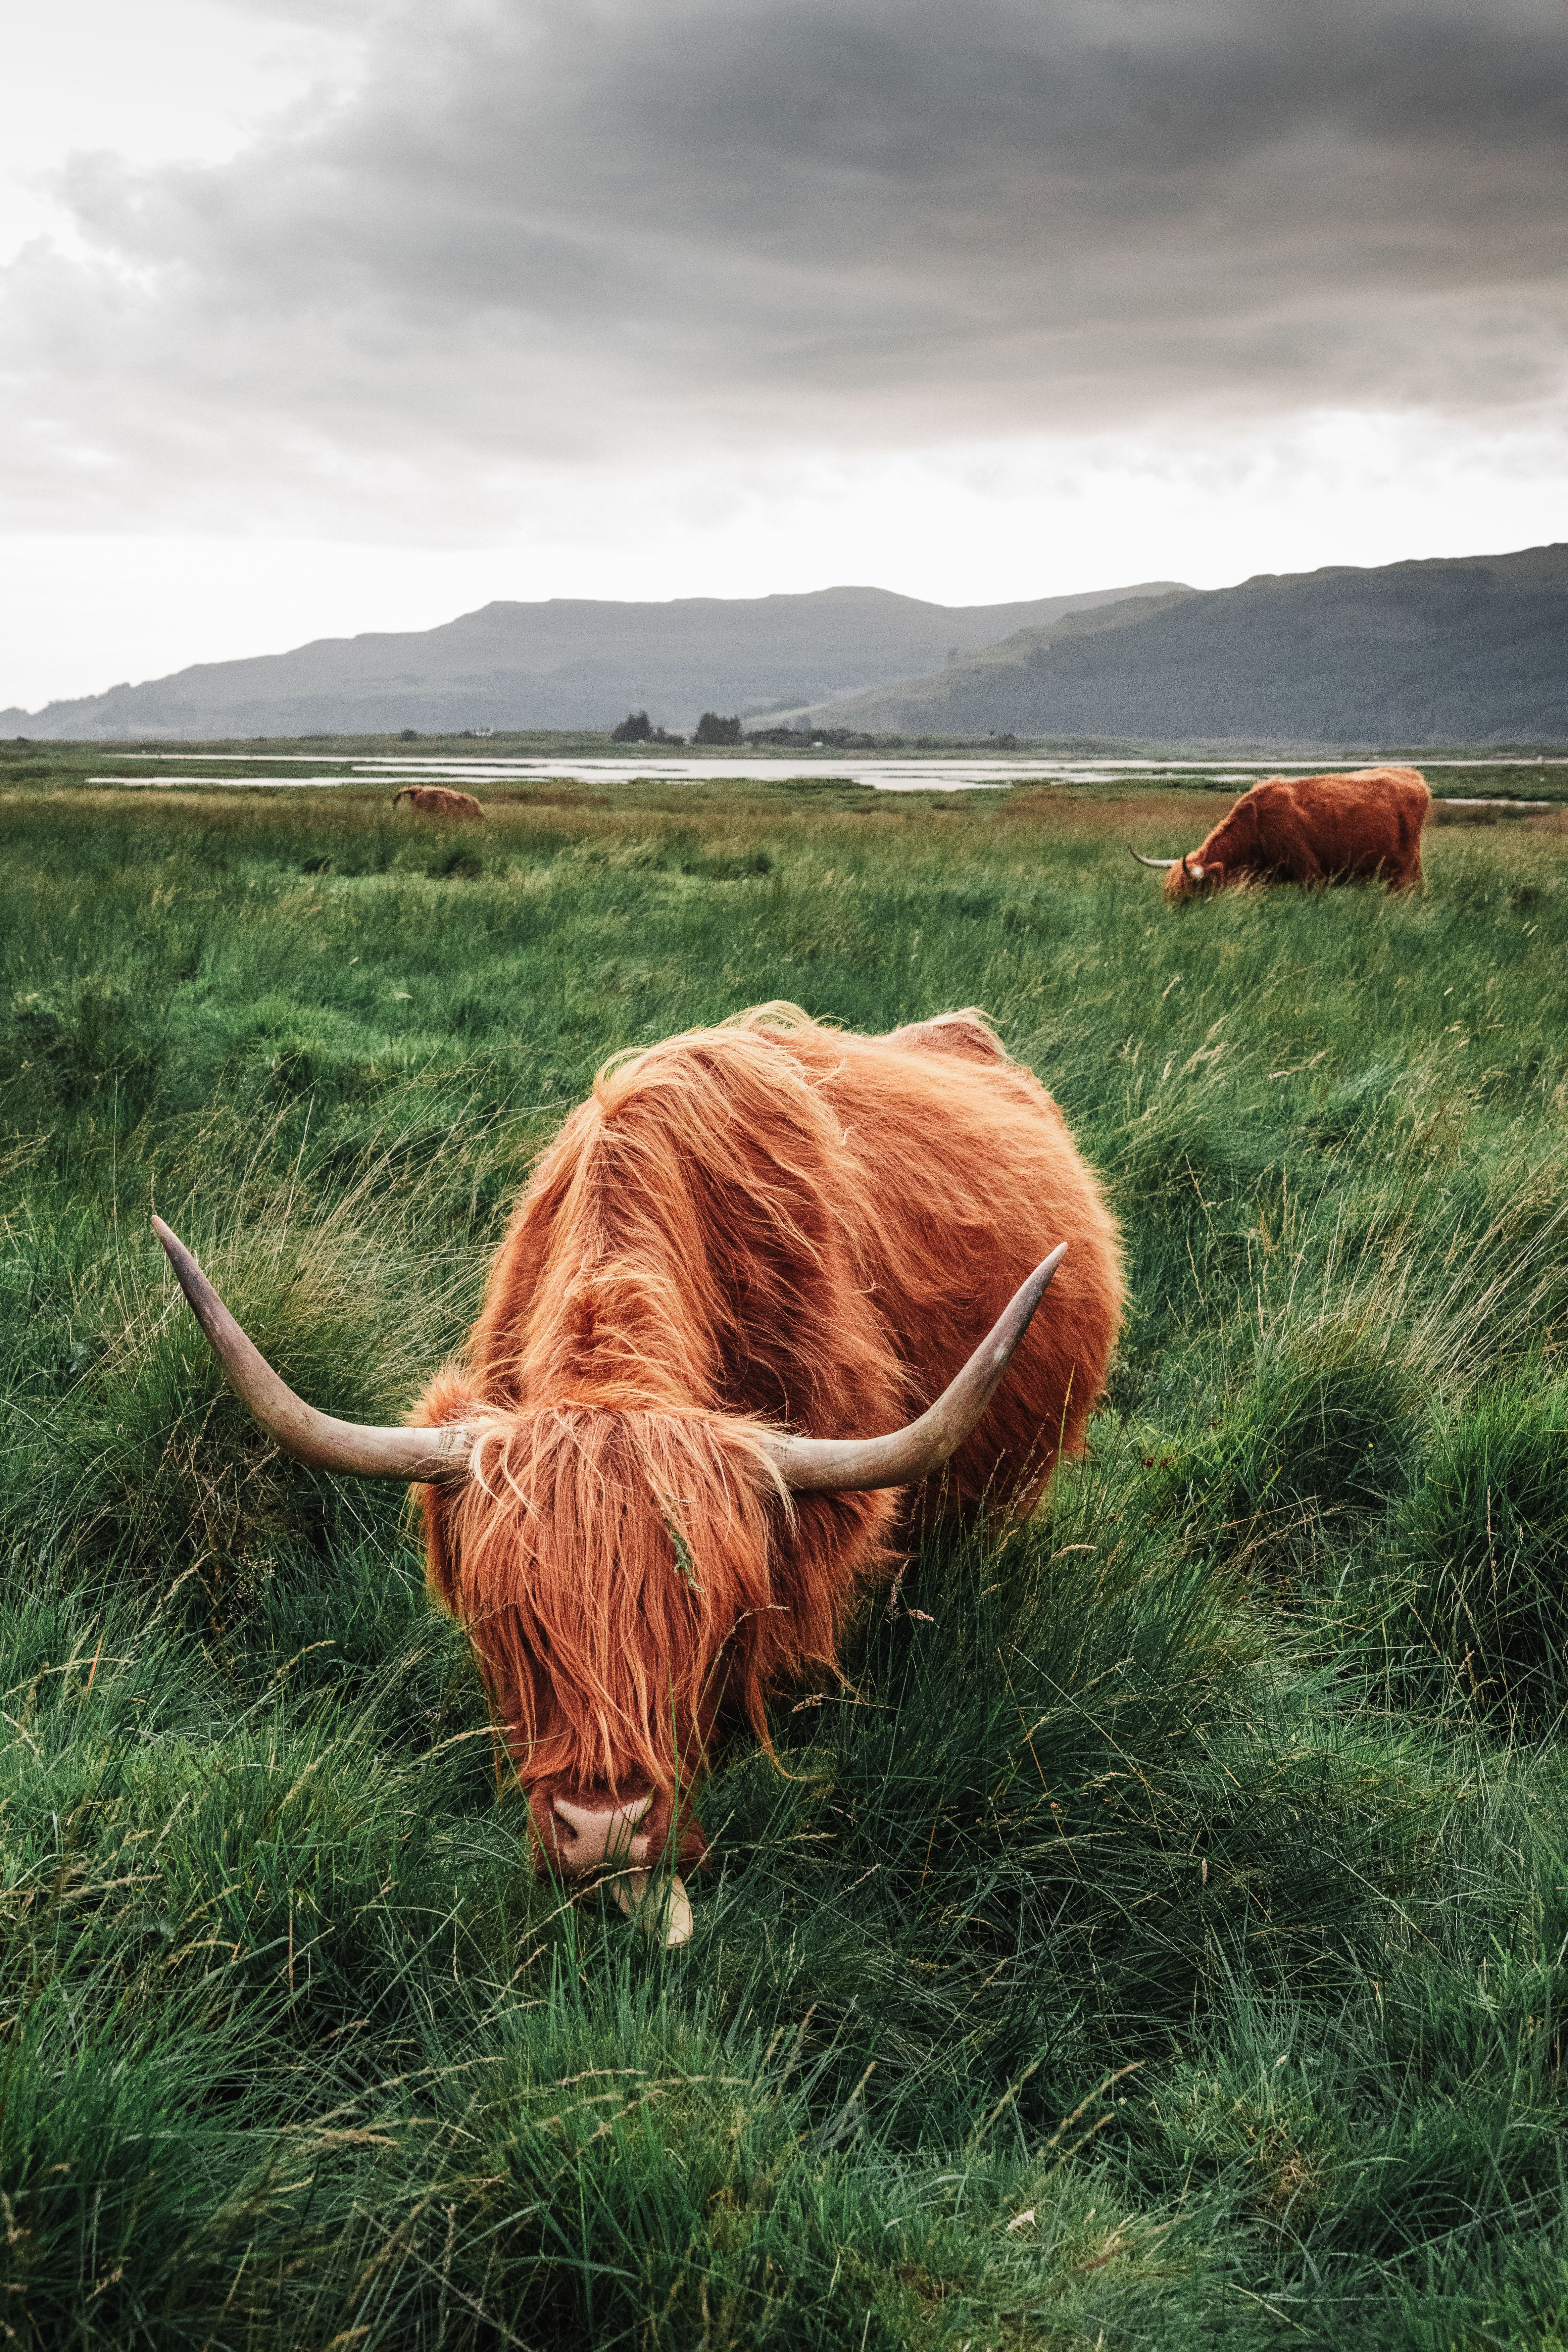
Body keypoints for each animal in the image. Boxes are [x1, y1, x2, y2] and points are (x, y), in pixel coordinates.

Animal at [1131, 766, 1431, 899]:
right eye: (1169, 894)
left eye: (1188, 896)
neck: (1256, 828)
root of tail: (1412, 774)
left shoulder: (1311, 874)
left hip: (1404, 866)